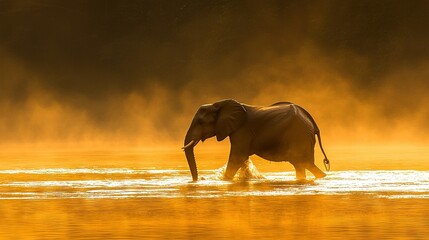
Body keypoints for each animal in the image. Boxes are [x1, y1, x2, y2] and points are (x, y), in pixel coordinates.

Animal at [182, 98, 330, 181]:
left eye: (201, 122)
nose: (198, 180)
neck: (218, 104)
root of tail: (314, 124)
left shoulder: (242, 131)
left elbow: (237, 158)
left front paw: (225, 179)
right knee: (301, 165)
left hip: (300, 137)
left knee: (306, 164)